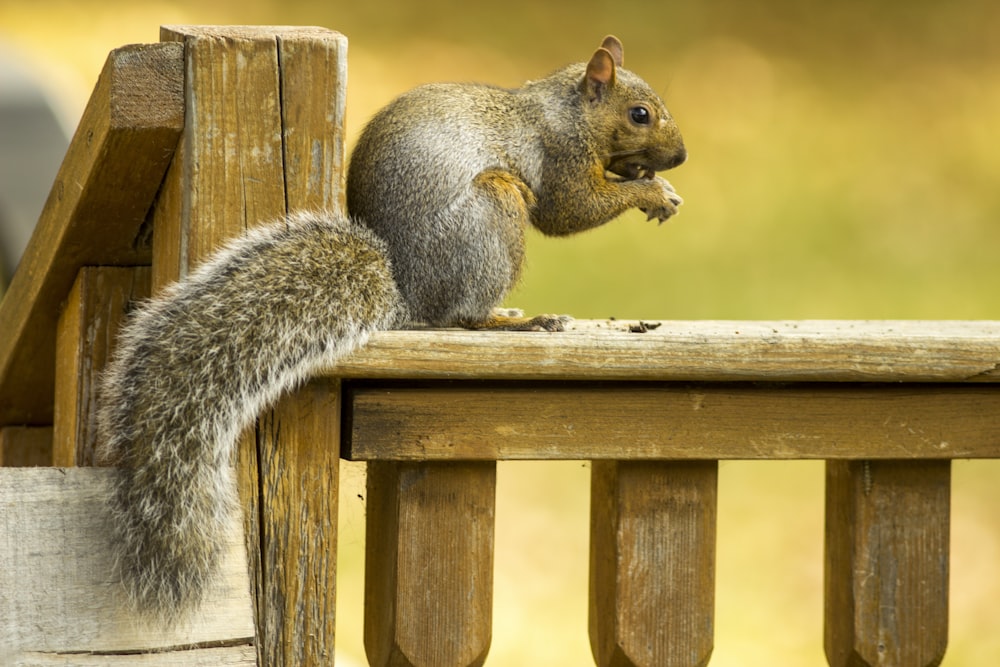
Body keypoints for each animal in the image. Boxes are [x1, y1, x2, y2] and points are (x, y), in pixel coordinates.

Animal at [97, 35, 688, 620]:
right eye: (639, 114)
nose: (680, 156)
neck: (567, 109)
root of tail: (407, 297)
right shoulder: (558, 156)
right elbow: (571, 210)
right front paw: (652, 192)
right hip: (494, 208)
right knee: (462, 316)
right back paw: (517, 321)